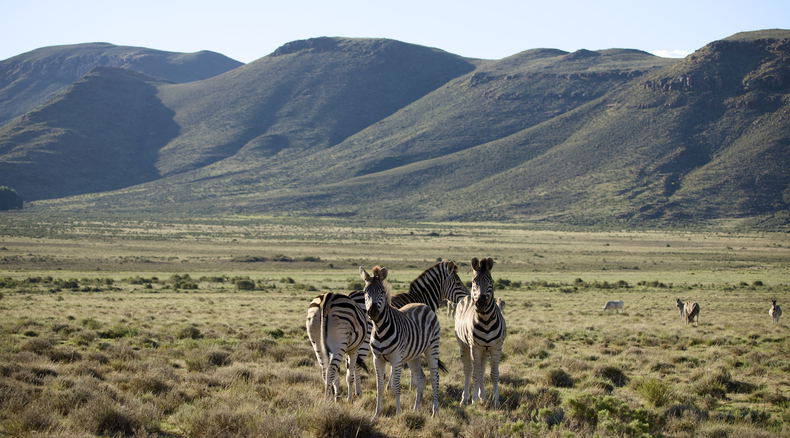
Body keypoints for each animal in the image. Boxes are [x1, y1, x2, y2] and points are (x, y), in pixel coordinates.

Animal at [362, 265, 445, 418]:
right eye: (365, 292)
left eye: (382, 291)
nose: (373, 312)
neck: (380, 330)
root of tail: (423, 305)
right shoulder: (377, 358)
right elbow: (379, 387)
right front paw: (376, 414)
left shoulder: (396, 359)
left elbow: (395, 386)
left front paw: (398, 413)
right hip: (413, 355)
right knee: (421, 378)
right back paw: (416, 408)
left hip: (432, 347)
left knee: (435, 377)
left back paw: (435, 411)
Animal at [455, 257, 507, 407]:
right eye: (474, 282)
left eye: (491, 282)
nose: (481, 303)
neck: (486, 320)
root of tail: (466, 296)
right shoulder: (475, 347)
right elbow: (475, 374)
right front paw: (474, 401)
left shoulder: (496, 347)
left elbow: (494, 374)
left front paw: (496, 401)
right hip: (464, 345)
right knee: (468, 370)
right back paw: (465, 399)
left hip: (485, 349)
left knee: (482, 369)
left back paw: (482, 396)